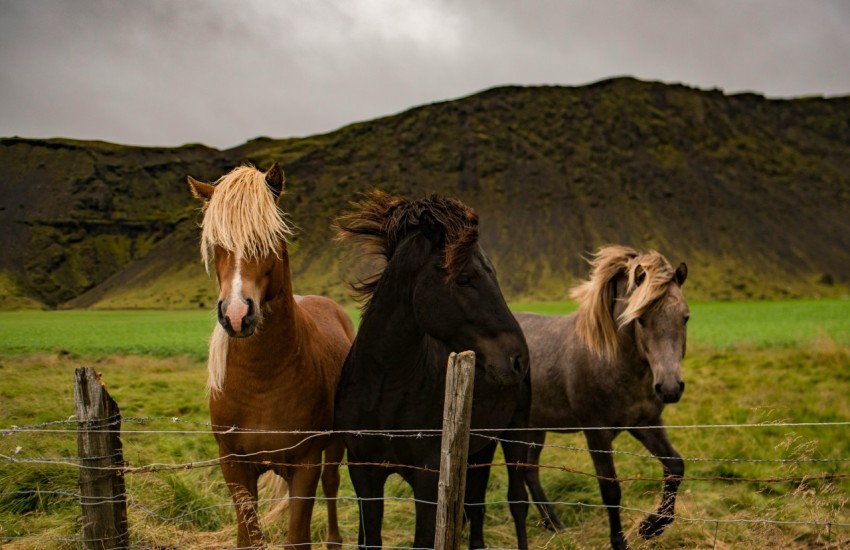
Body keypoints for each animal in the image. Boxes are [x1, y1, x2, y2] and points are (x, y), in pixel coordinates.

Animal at [187, 163, 355, 549]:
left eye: (269, 239)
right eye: (216, 244)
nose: (236, 314)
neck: (261, 381)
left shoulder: (305, 465)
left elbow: (298, 538)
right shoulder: (233, 465)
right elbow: (247, 538)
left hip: (334, 447)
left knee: (332, 484)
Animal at [333, 190, 533, 549]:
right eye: (464, 278)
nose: (517, 359)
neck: (384, 390)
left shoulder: (428, 480)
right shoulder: (363, 472)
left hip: (515, 436)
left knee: (518, 502)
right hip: (479, 448)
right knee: (476, 506)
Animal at [517, 245, 689, 550]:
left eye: (685, 318)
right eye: (640, 319)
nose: (669, 387)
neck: (612, 360)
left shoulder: (646, 424)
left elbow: (675, 466)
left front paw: (651, 527)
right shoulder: (596, 433)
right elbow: (610, 489)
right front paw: (620, 542)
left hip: (535, 427)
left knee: (529, 470)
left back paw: (555, 525)